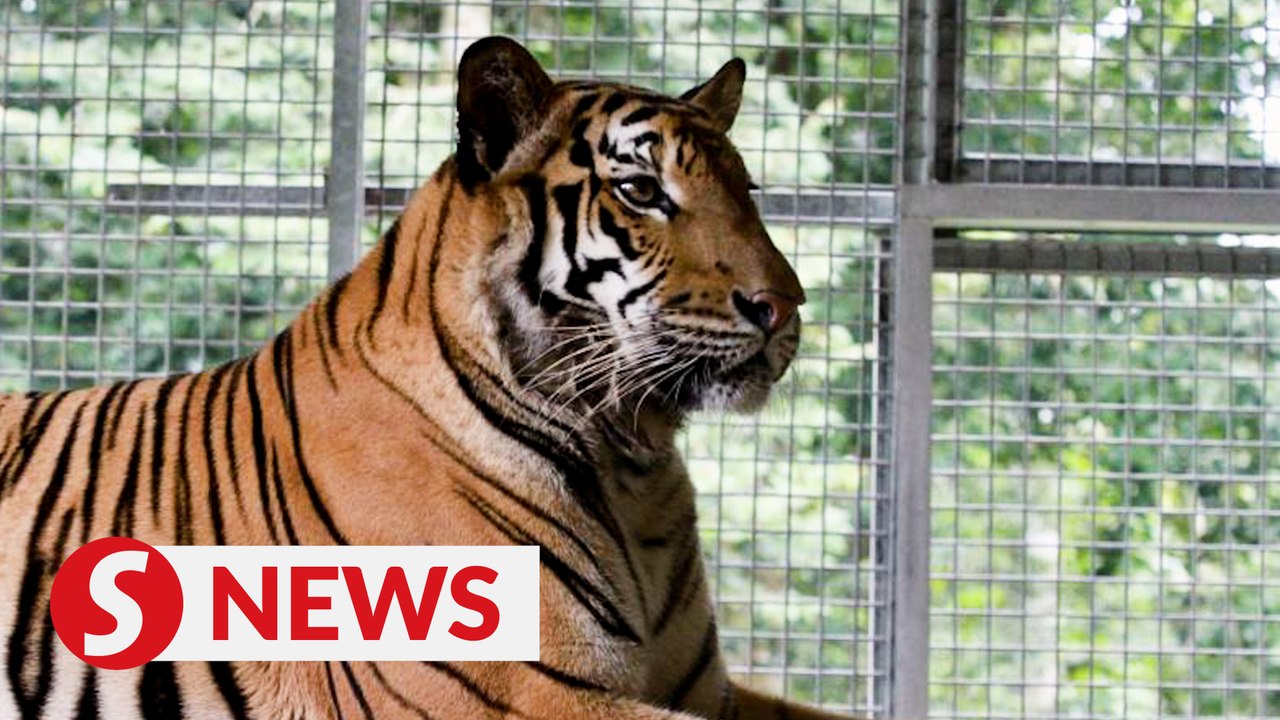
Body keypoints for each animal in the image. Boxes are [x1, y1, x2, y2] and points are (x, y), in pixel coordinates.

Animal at [0, 36, 862, 720]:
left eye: (746, 191)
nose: (785, 305)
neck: (631, 462)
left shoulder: (705, 688)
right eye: (641, 190)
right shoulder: (526, 694)